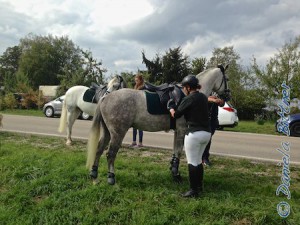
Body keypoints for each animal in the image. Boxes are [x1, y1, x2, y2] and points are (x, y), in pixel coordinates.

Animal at [86, 64, 230, 185]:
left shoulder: (177, 131)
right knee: (110, 154)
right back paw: (111, 177)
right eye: (227, 78)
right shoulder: (182, 131)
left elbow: (175, 152)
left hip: (107, 132)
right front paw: (176, 175)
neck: (187, 94)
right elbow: (178, 152)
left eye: (115, 85)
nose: (227, 96)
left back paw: (94, 174)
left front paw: (173, 171)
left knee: (99, 149)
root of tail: (105, 98)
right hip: (117, 133)